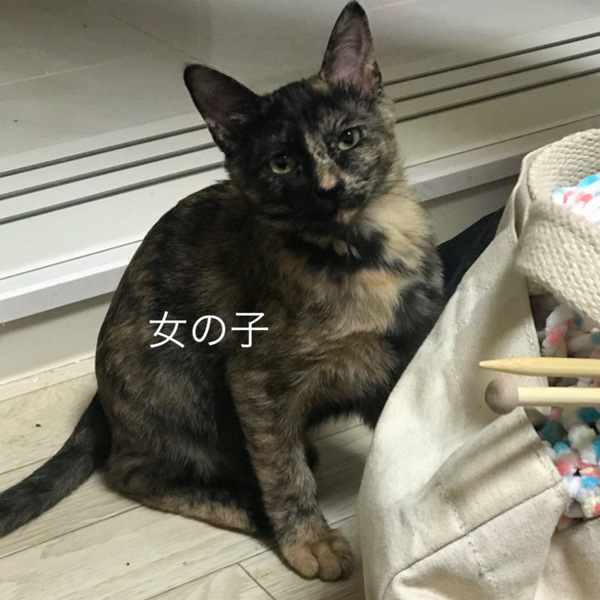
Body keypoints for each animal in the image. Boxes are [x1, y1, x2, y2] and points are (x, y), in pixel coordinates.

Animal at [0, 1, 443, 581]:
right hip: (179, 377)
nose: (327, 189)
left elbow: (404, 432)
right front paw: (310, 539)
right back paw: (251, 507)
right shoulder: (255, 379)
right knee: (134, 472)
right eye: (282, 163)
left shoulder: (401, 356)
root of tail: (102, 396)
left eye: (348, 137)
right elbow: (283, 473)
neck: (360, 253)